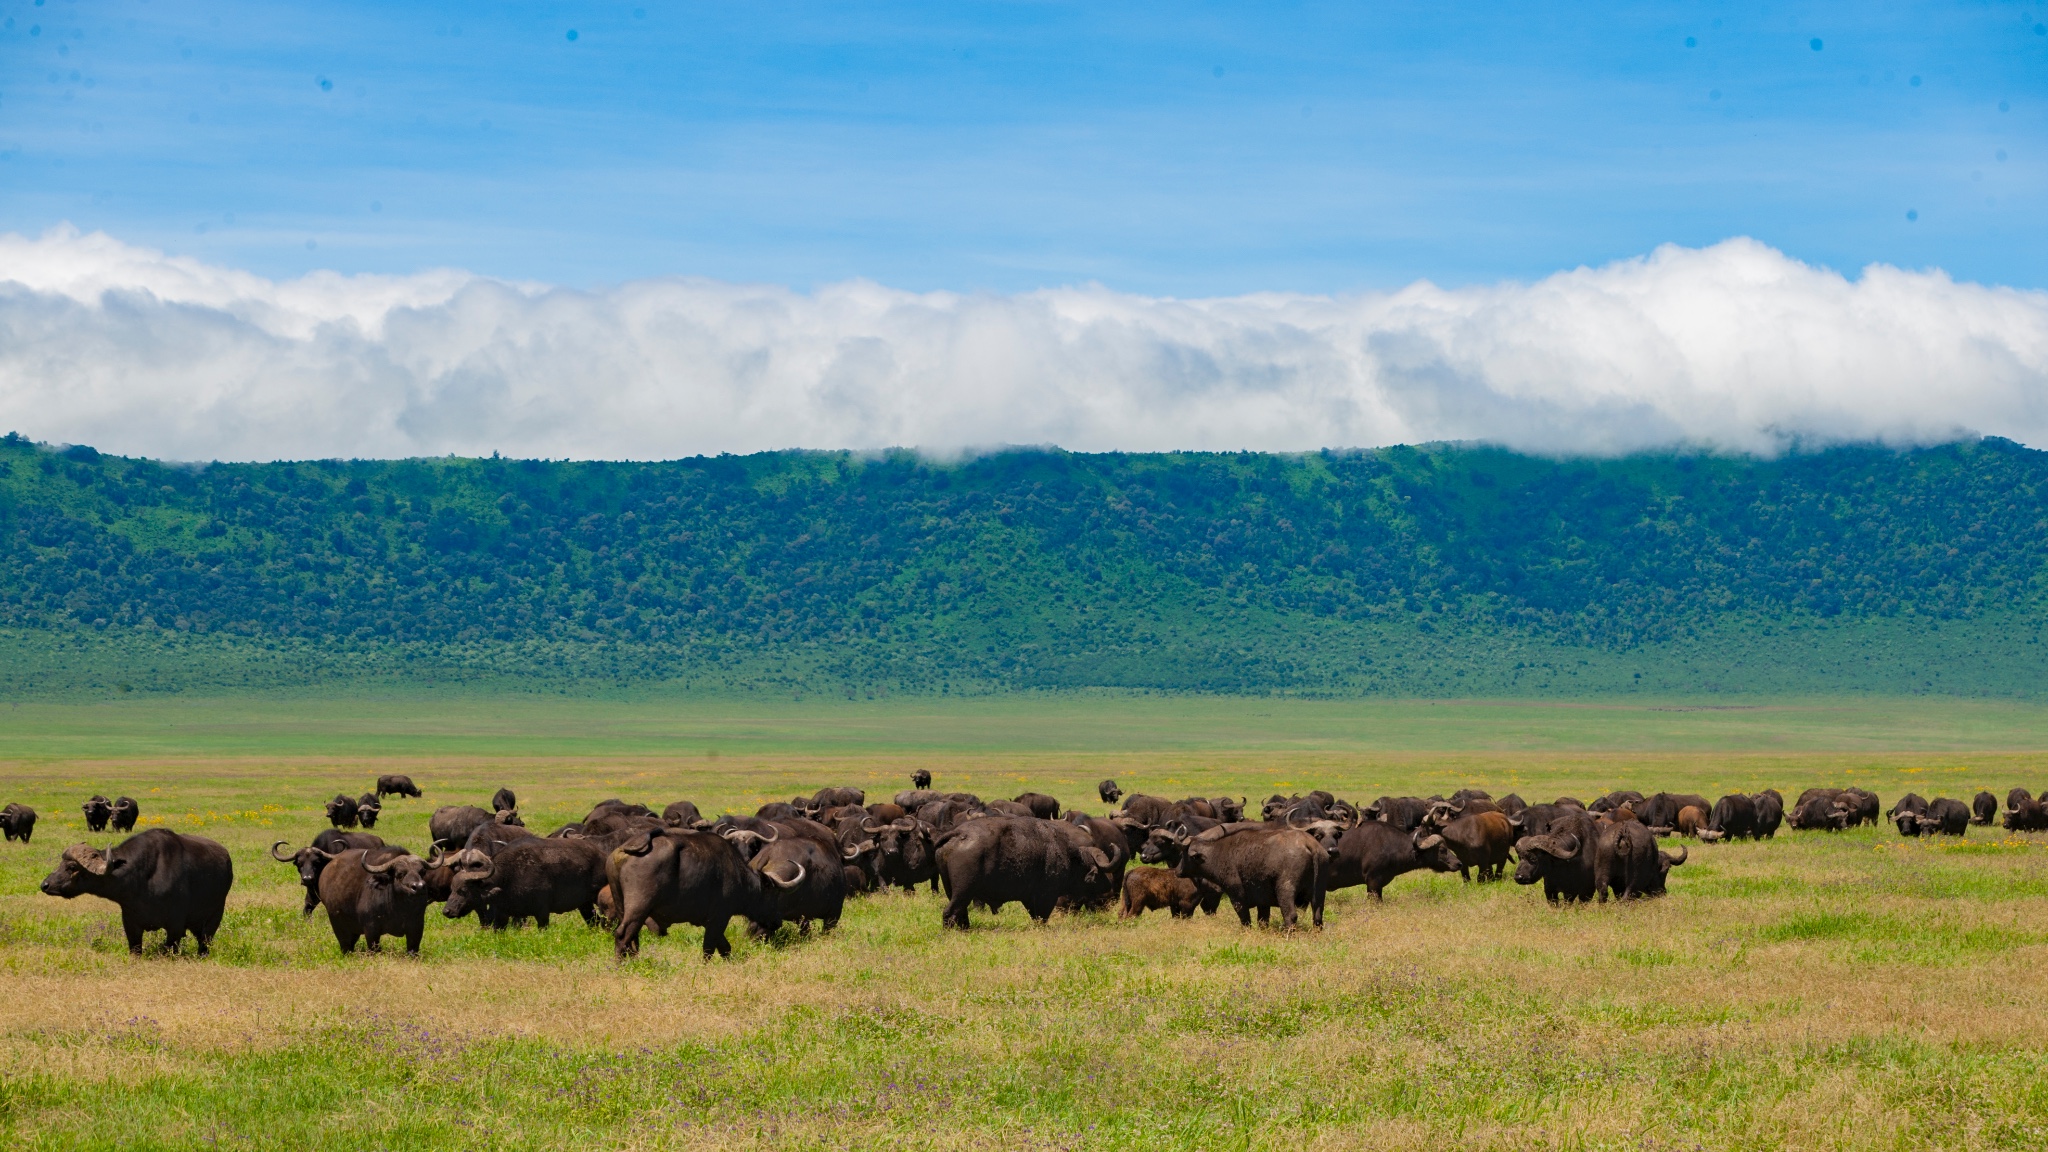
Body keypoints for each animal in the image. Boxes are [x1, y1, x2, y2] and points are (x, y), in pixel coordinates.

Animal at [38, 824, 234, 951]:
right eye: (61, 863)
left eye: (72, 867)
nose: (45, 884)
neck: (143, 879)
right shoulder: (131, 924)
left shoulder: (175, 926)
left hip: (214, 918)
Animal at [937, 811, 1114, 926]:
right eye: (1099, 873)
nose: (1109, 885)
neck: (1071, 856)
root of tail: (958, 834)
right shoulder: (1046, 896)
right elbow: (1042, 916)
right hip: (963, 891)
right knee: (950, 912)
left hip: (953, 891)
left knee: (960, 912)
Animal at [1171, 819, 1327, 926]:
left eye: (1183, 854)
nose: (1177, 871)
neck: (1217, 853)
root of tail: (1309, 845)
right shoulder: (1263, 901)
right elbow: (1263, 920)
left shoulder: (1236, 895)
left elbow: (1245, 918)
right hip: (1319, 892)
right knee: (1318, 915)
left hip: (1285, 889)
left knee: (1291, 915)